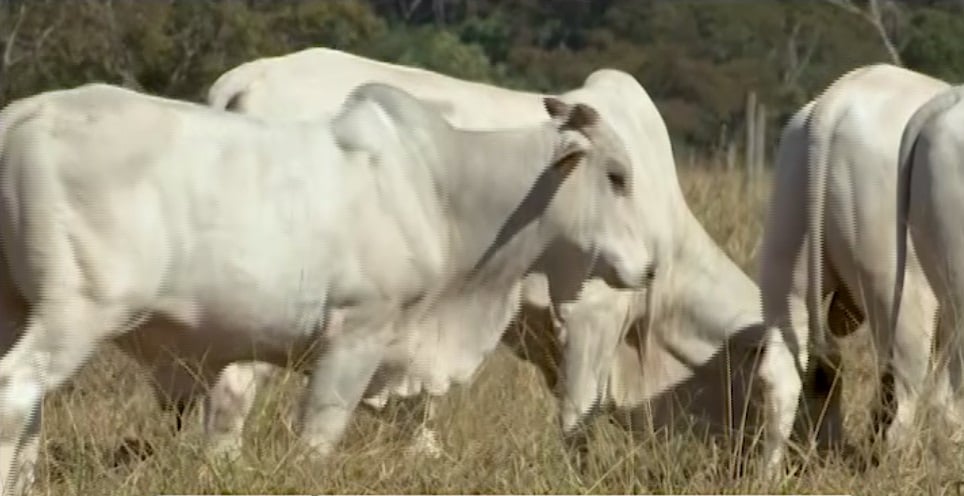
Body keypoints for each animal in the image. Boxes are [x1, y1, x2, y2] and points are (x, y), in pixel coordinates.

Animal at [1, 78, 656, 496]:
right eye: (616, 176)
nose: (649, 269)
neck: (444, 191)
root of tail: (20, 117)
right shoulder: (357, 335)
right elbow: (318, 440)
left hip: (17, 307)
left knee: (30, 416)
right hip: (76, 313)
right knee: (16, 393)